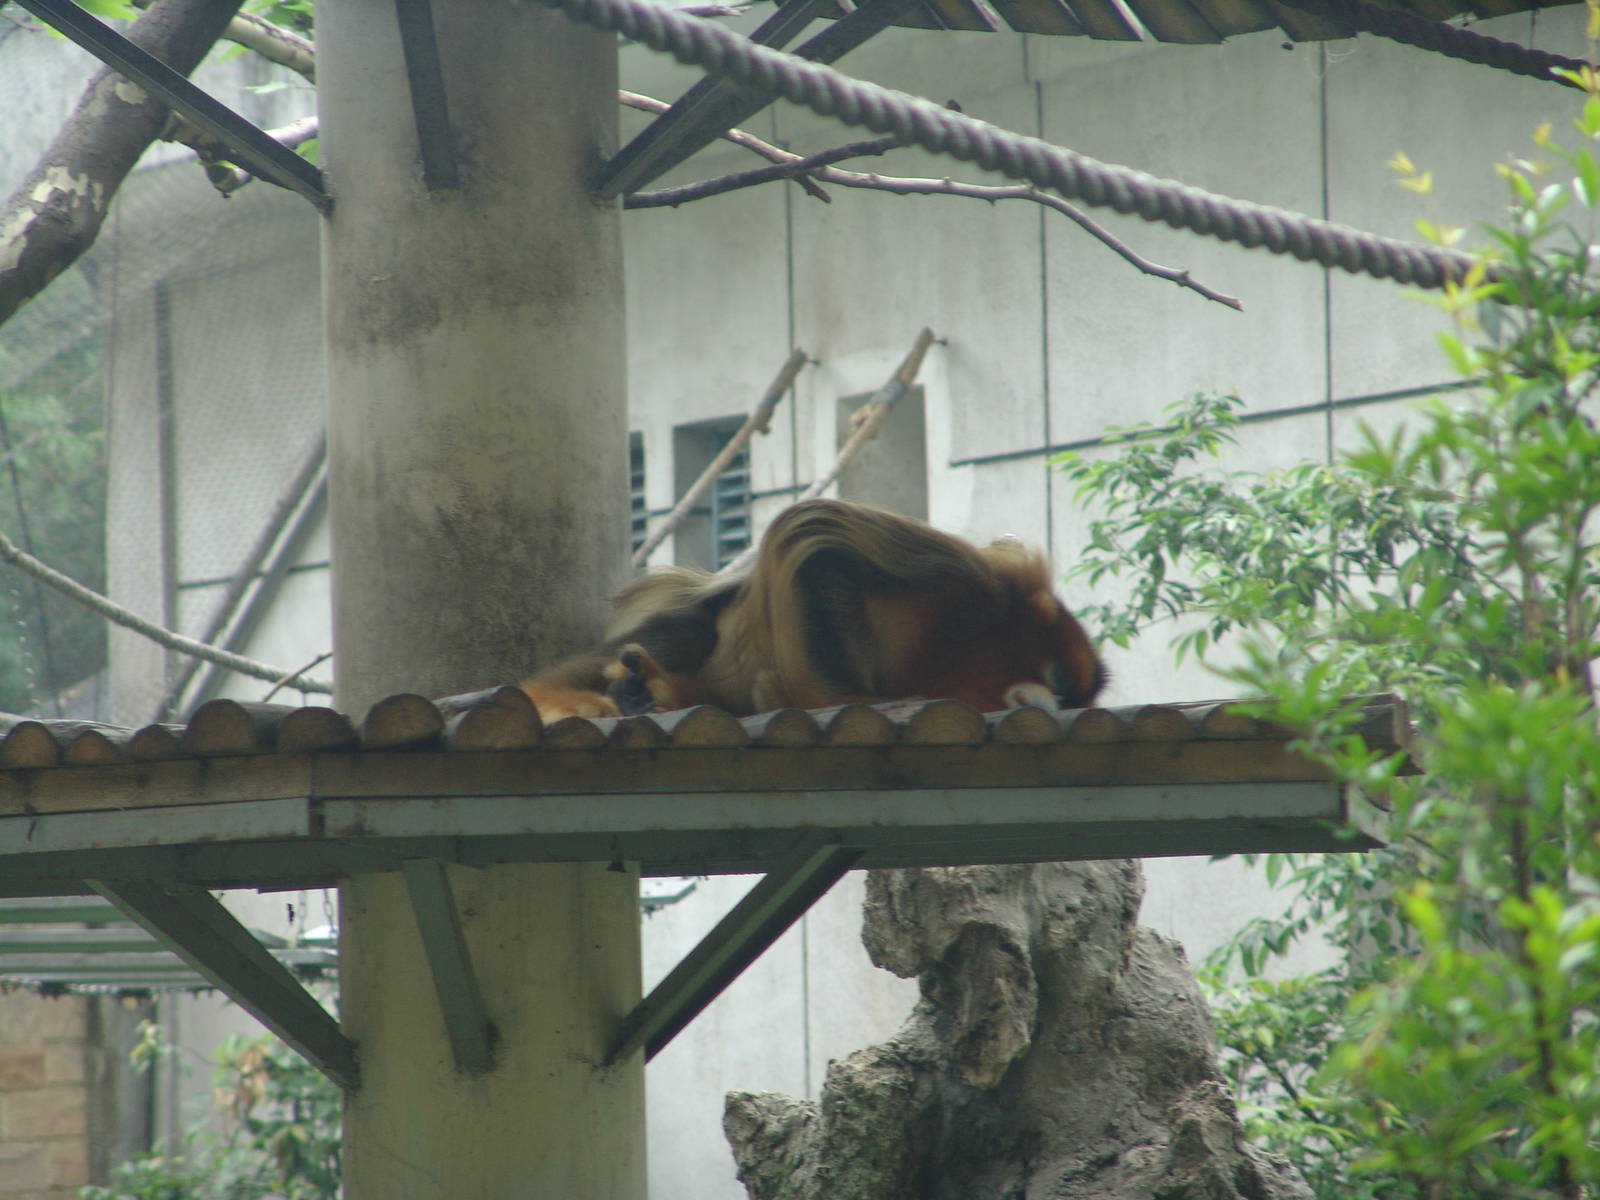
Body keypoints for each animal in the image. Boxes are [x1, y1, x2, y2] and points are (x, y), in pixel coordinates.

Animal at [521, 498, 1106, 722]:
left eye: (1068, 698)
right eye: (1057, 682)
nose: (1054, 703)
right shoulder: (971, 582)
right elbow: (818, 538)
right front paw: (838, 700)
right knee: (688, 633)